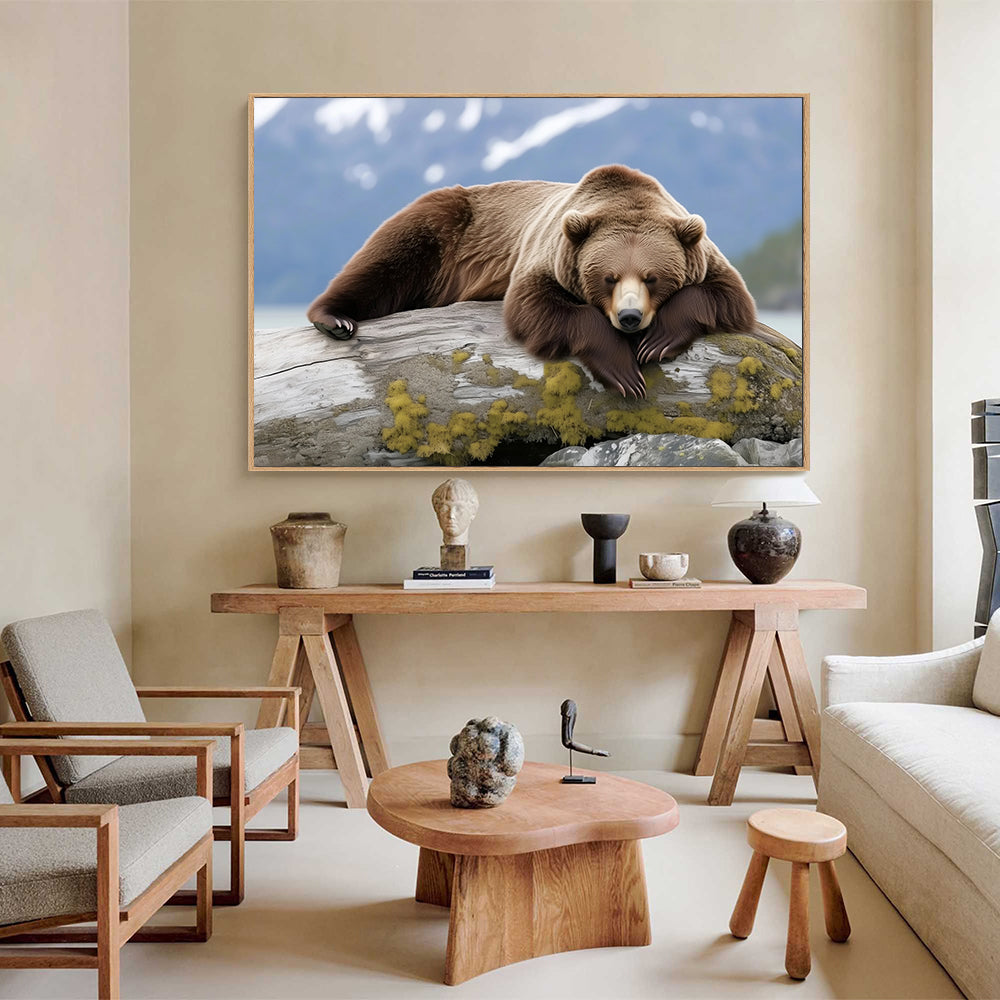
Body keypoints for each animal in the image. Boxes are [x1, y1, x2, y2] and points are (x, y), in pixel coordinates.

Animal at [306, 164, 756, 399]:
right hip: (445, 227)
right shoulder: (546, 253)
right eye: (608, 278)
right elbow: (536, 308)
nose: (630, 317)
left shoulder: (704, 256)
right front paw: (623, 371)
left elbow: (726, 295)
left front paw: (657, 341)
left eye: (652, 277)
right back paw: (334, 318)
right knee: (386, 260)